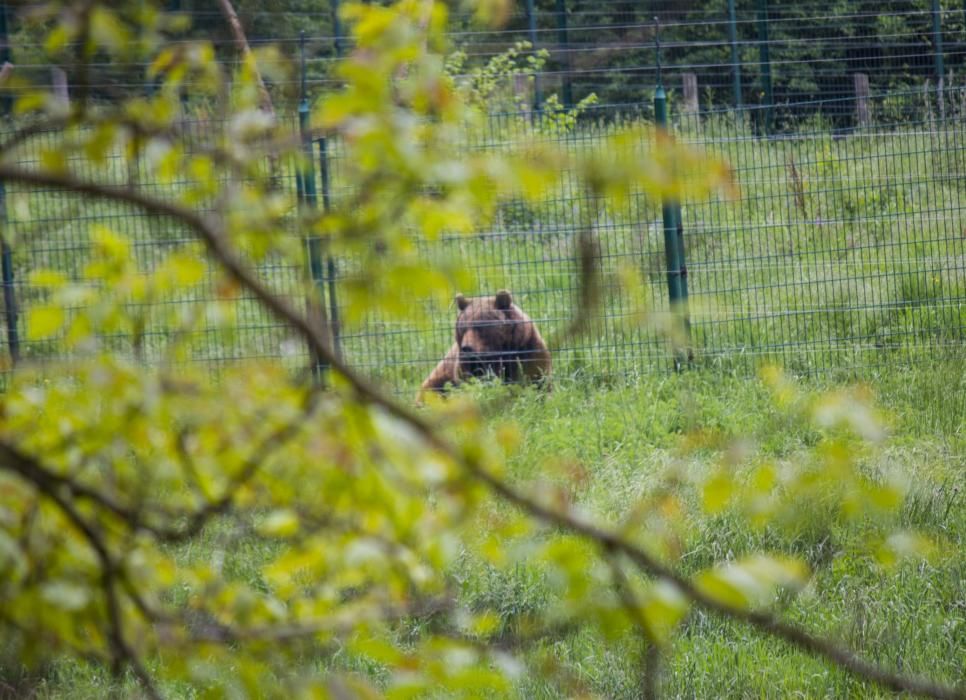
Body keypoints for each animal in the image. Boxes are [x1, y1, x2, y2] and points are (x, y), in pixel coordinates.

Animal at [422, 290, 556, 400]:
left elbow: (537, 377)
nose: (467, 348)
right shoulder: (467, 365)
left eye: (480, 326)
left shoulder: (526, 348)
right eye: (463, 328)